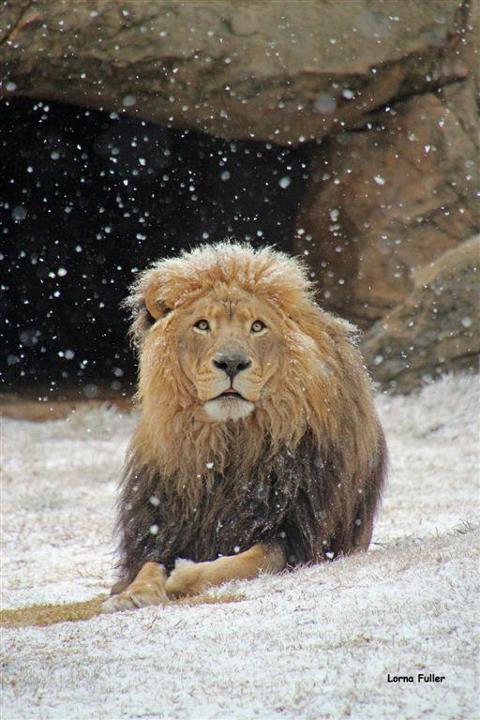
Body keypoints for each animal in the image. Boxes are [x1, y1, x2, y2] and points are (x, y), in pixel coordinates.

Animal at [102, 242, 387, 613]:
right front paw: (131, 594)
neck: (229, 443)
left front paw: (181, 576)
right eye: (202, 325)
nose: (232, 363)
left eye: (257, 327)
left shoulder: (298, 538)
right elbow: (148, 564)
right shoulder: (162, 526)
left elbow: (243, 560)